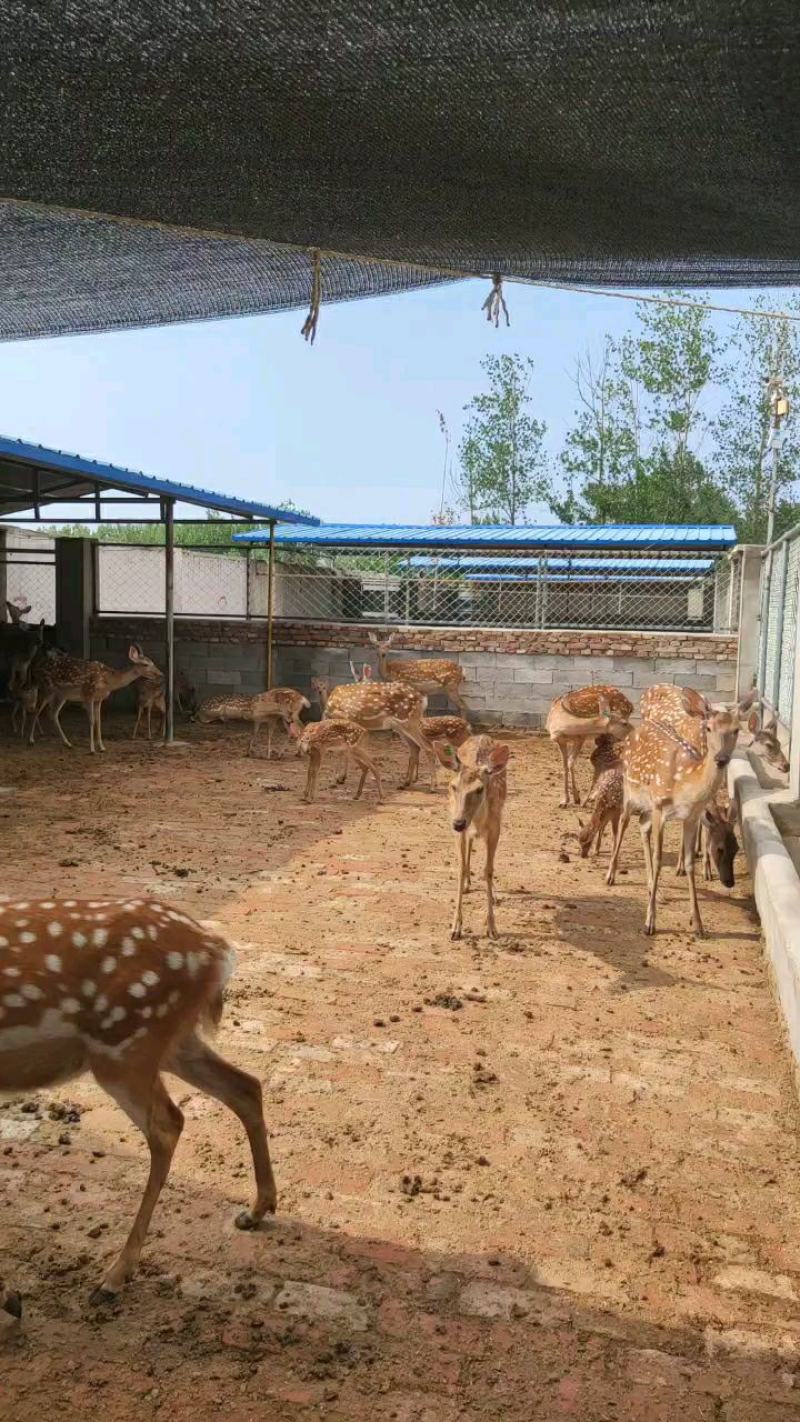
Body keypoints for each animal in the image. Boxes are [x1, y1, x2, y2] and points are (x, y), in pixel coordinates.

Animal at [0, 896, 276, 1314]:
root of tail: (215, 949)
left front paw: (8, 1298)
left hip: (125, 1044)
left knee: (169, 1123)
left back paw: (113, 1277)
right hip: (168, 1042)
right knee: (245, 1086)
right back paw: (256, 1209)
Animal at [29, 644, 162, 753]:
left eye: (153, 662)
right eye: (145, 664)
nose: (160, 674)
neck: (108, 681)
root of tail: (36, 668)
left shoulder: (99, 699)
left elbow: (99, 721)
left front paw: (102, 747)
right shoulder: (88, 695)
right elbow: (92, 721)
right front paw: (92, 749)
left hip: (62, 695)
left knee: (53, 713)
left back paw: (68, 744)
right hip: (46, 688)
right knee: (36, 710)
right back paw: (31, 740)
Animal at [439, 735, 509, 941]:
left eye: (480, 789)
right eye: (453, 786)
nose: (458, 823)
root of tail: (481, 736)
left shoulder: (495, 828)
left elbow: (488, 870)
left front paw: (492, 928)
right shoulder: (456, 828)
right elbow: (461, 868)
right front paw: (455, 928)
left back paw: (494, 894)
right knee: (469, 844)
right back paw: (467, 885)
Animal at [606, 693, 755, 936]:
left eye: (736, 729)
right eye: (708, 728)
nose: (721, 758)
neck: (685, 784)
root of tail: (634, 730)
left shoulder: (691, 817)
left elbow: (689, 862)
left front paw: (698, 924)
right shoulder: (660, 806)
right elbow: (658, 859)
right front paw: (649, 922)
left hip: (647, 806)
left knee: (642, 826)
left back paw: (652, 888)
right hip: (630, 789)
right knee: (624, 821)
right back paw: (610, 875)